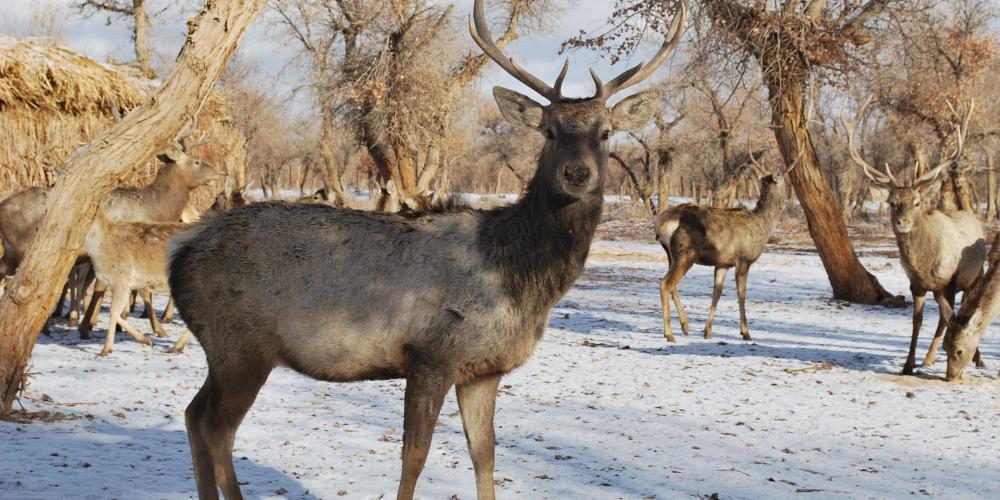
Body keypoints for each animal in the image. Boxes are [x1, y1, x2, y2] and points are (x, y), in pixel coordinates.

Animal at [168, 1, 688, 498]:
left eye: (605, 132)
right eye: (550, 131)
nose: (577, 173)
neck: (517, 279)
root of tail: (180, 248)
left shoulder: (484, 370)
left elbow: (485, 455)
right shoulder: (432, 354)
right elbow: (414, 456)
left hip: (225, 350)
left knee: (193, 416)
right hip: (241, 344)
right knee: (216, 428)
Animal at [652, 143, 800, 342]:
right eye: (784, 182)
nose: (783, 204)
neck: (762, 226)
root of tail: (662, 223)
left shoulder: (722, 263)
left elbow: (717, 292)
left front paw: (707, 331)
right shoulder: (743, 259)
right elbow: (741, 293)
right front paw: (746, 332)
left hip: (671, 255)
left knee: (671, 284)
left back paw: (685, 325)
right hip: (686, 253)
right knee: (666, 283)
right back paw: (669, 334)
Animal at [840, 94, 988, 376]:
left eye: (917, 202)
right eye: (891, 202)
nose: (903, 222)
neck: (926, 263)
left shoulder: (949, 280)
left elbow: (950, 317)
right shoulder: (915, 284)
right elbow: (917, 321)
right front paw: (908, 364)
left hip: (976, 275)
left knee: (964, 310)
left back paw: (977, 358)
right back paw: (929, 358)